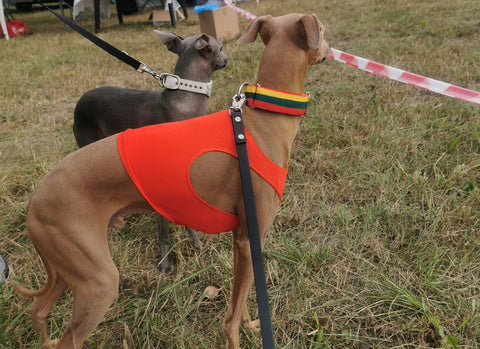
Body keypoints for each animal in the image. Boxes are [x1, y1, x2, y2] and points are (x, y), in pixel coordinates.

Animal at [14, 12, 330, 346]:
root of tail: (34, 200)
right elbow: (230, 321)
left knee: (38, 310)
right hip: (98, 282)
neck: (258, 121)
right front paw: (240, 330)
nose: (329, 48)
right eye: (321, 30)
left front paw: (249, 324)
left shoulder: (242, 240)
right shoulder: (252, 237)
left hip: (68, 269)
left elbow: (241, 297)